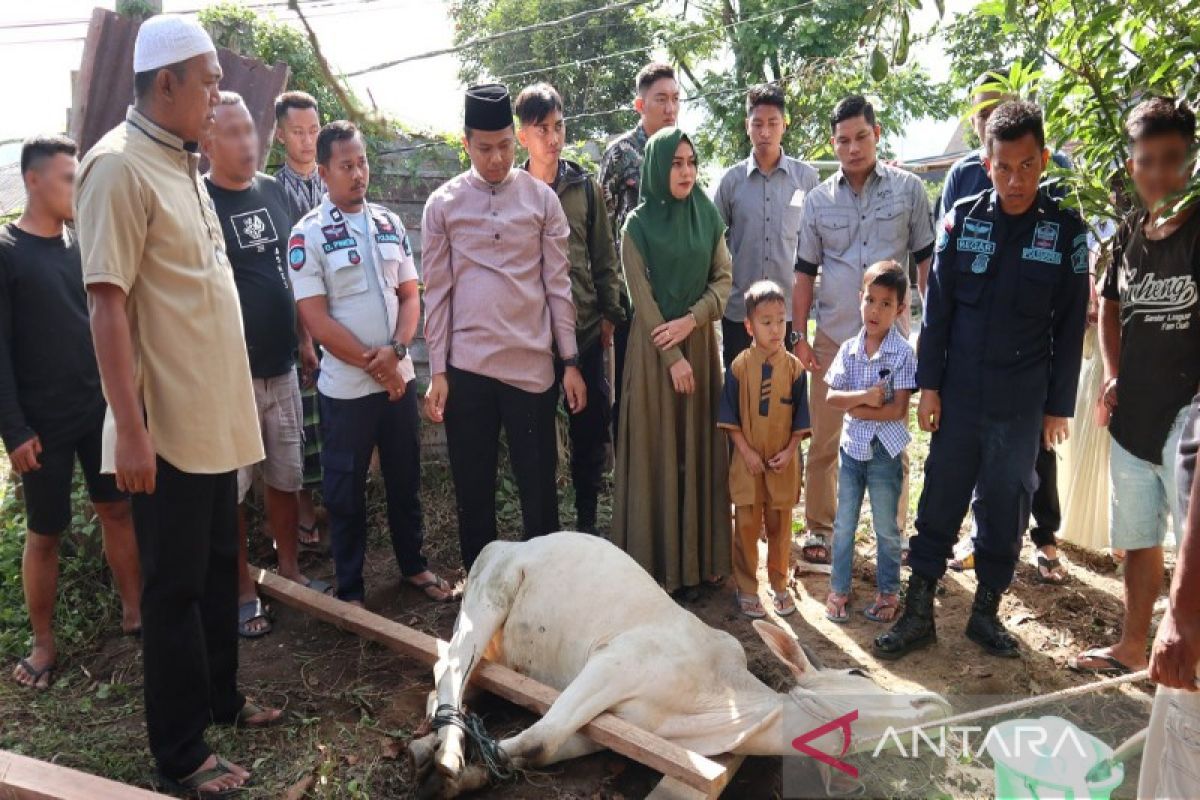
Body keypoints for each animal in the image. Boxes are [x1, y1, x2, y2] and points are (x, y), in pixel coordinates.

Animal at [412, 532, 945, 796]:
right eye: (857, 672)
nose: (934, 702)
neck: (722, 706)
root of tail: (506, 544)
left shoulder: (609, 726)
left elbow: (541, 749)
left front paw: (471, 776)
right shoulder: (614, 663)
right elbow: (539, 738)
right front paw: (460, 771)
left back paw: (430, 743)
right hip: (489, 597)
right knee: (450, 666)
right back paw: (447, 750)